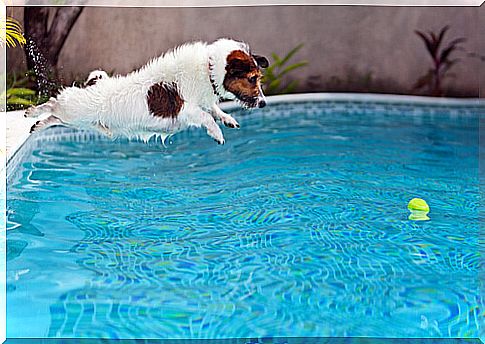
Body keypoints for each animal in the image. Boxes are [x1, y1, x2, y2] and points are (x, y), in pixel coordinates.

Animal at [26, 38, 268, 144]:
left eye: (258, 78)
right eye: (252, 79)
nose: (264, 103)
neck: (208, 69)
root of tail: (93, 84)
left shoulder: (204, 101)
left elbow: (214, 109)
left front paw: (228, 119)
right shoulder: (185, 109)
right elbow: (206, 116)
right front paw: (217, 133)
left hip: (81, 122)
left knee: (54, 118)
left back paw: (37, 124)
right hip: (73, 110)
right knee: (53, 104)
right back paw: (32, 112)